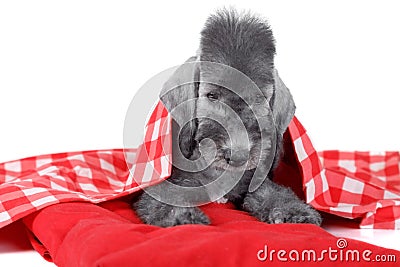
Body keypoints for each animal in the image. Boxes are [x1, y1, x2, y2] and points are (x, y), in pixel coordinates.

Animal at [133, 8, 324, 227]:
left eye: (259, 99)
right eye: (212, 96)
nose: (238, 156)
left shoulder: (254, 180)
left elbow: (272, 192)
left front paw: (294, 211)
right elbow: (170, 194)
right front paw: (183, 217)